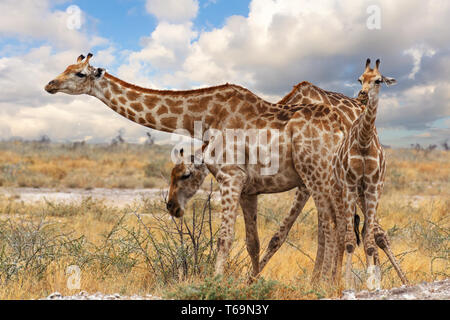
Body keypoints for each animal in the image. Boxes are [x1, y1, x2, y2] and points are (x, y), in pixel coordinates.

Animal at [330, 58, 408, 286]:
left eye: (378, 80)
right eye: (359, 79)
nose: (363, 94)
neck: (364, 142)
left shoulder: (373, 187)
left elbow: (370, 241)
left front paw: (372, 284)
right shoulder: (349, 185)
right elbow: (349, 240)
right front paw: (348, 284)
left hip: (365, 194)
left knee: (366, 232)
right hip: (340, 192)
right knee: (341, 231)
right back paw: (334, 281)